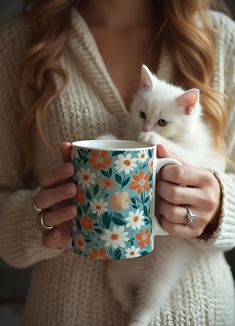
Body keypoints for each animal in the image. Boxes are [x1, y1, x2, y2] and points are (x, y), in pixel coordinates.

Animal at [100, 65, 224, 324]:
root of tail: (137, 275)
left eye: (163, 122)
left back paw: (137, 318)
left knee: (147, 305)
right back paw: (128, 309)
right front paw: (108, 139)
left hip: (161, 278)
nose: (146, 129)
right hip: (115, 272)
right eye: (142, 115)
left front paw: (153, 139)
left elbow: (177, 152)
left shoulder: (194, 161)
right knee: (124, 294)